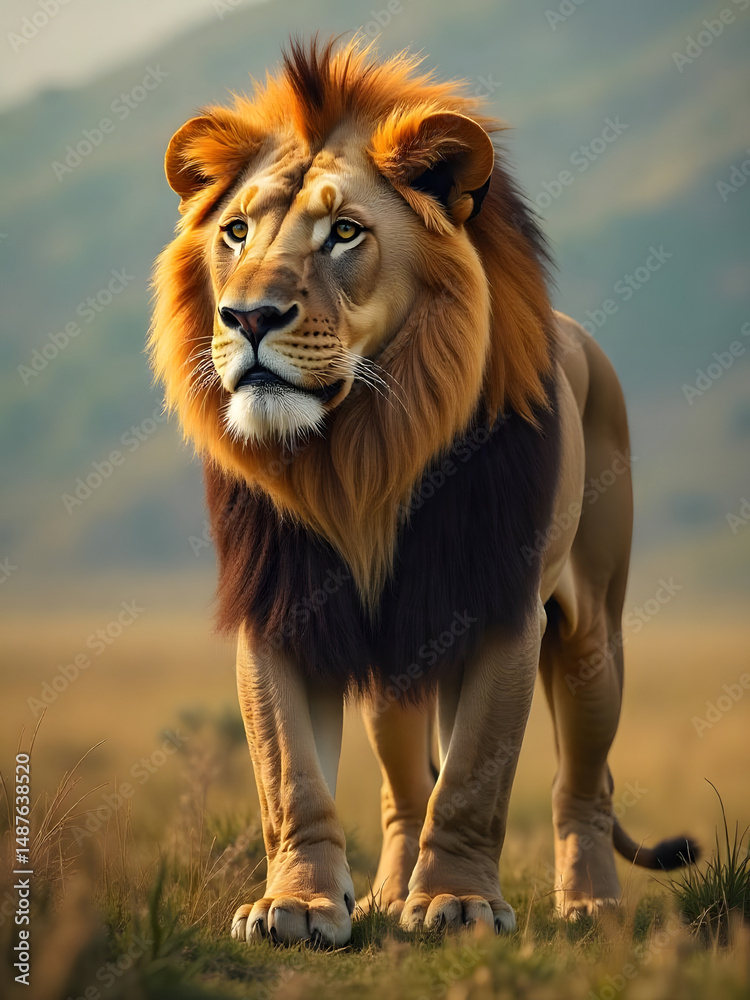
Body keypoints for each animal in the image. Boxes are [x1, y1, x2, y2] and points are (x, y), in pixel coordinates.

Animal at [150, 38, 697, 946]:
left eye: (344, 232)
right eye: (236, 231)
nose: (247, 317)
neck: (360, 452)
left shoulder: (500, 603)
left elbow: (475, 774)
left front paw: (460, 903)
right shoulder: (280, 603)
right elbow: (290, 775)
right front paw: (299, 904)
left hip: (592, 637)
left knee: (583, 783)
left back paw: (589, 904)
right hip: (401, 659)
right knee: (405, 792)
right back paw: (385, 896)